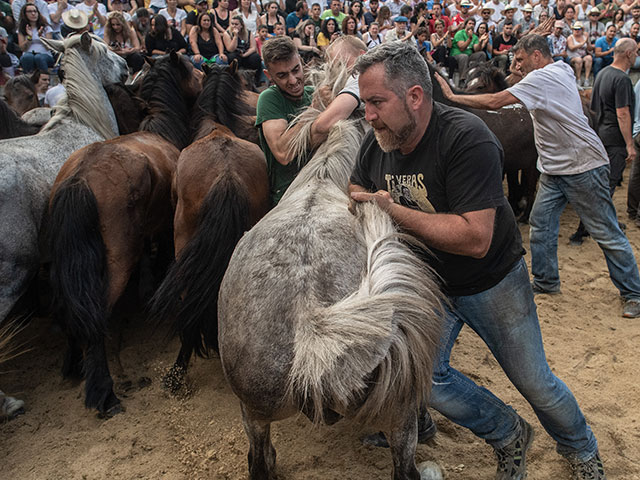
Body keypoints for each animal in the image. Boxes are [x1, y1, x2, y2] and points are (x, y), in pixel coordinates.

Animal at [47, 51, 202, 412]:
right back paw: (104, 393)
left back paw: (72, 365)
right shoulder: (163, 225)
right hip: (116, 258)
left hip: (67, 259)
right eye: (191, 67)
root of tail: (79, 178)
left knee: (66, 305)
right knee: (94, 314)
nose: (204, 73)